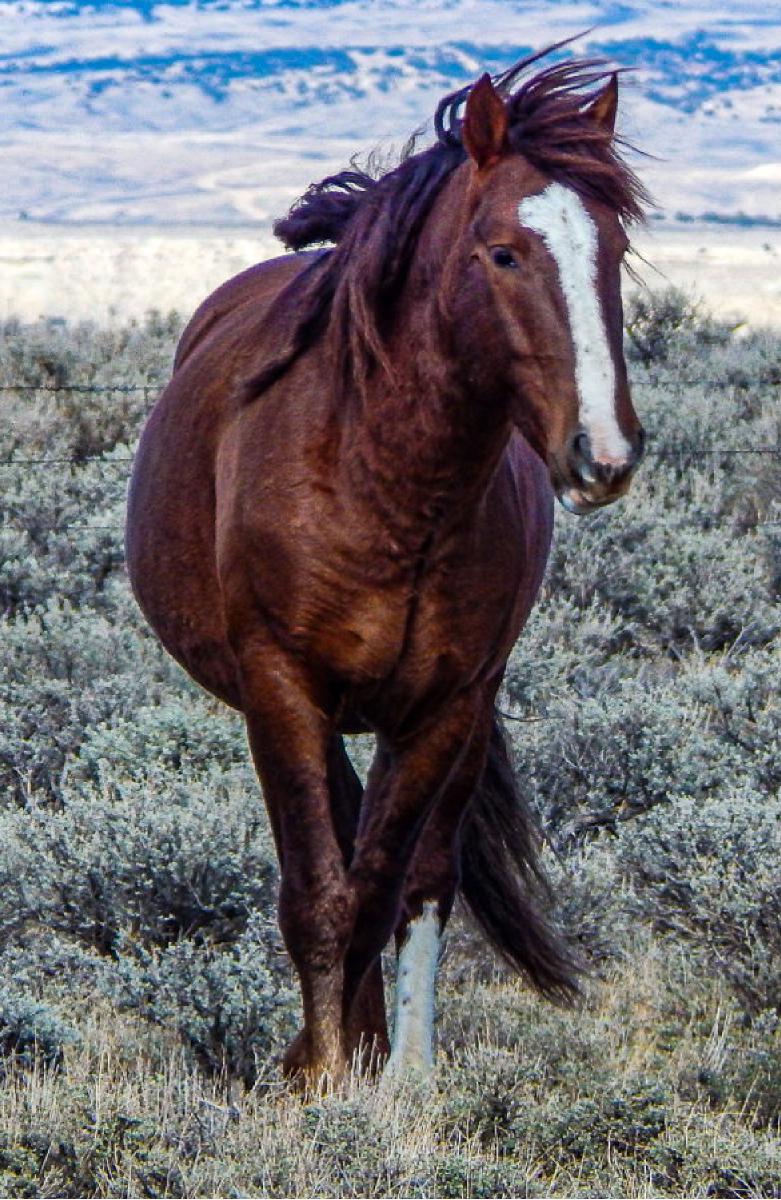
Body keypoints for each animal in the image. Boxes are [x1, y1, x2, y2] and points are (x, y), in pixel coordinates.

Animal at [126, 51, 647, 1089]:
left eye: (611, 249)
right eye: (503, 254)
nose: (602, 455)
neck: (389, 484)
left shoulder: (445, 705)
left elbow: (389, 887)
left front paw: (388, 1083)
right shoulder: (283, 688)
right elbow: (320, 890)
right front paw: (322, 1076)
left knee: (416, 873)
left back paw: (397, 1060)